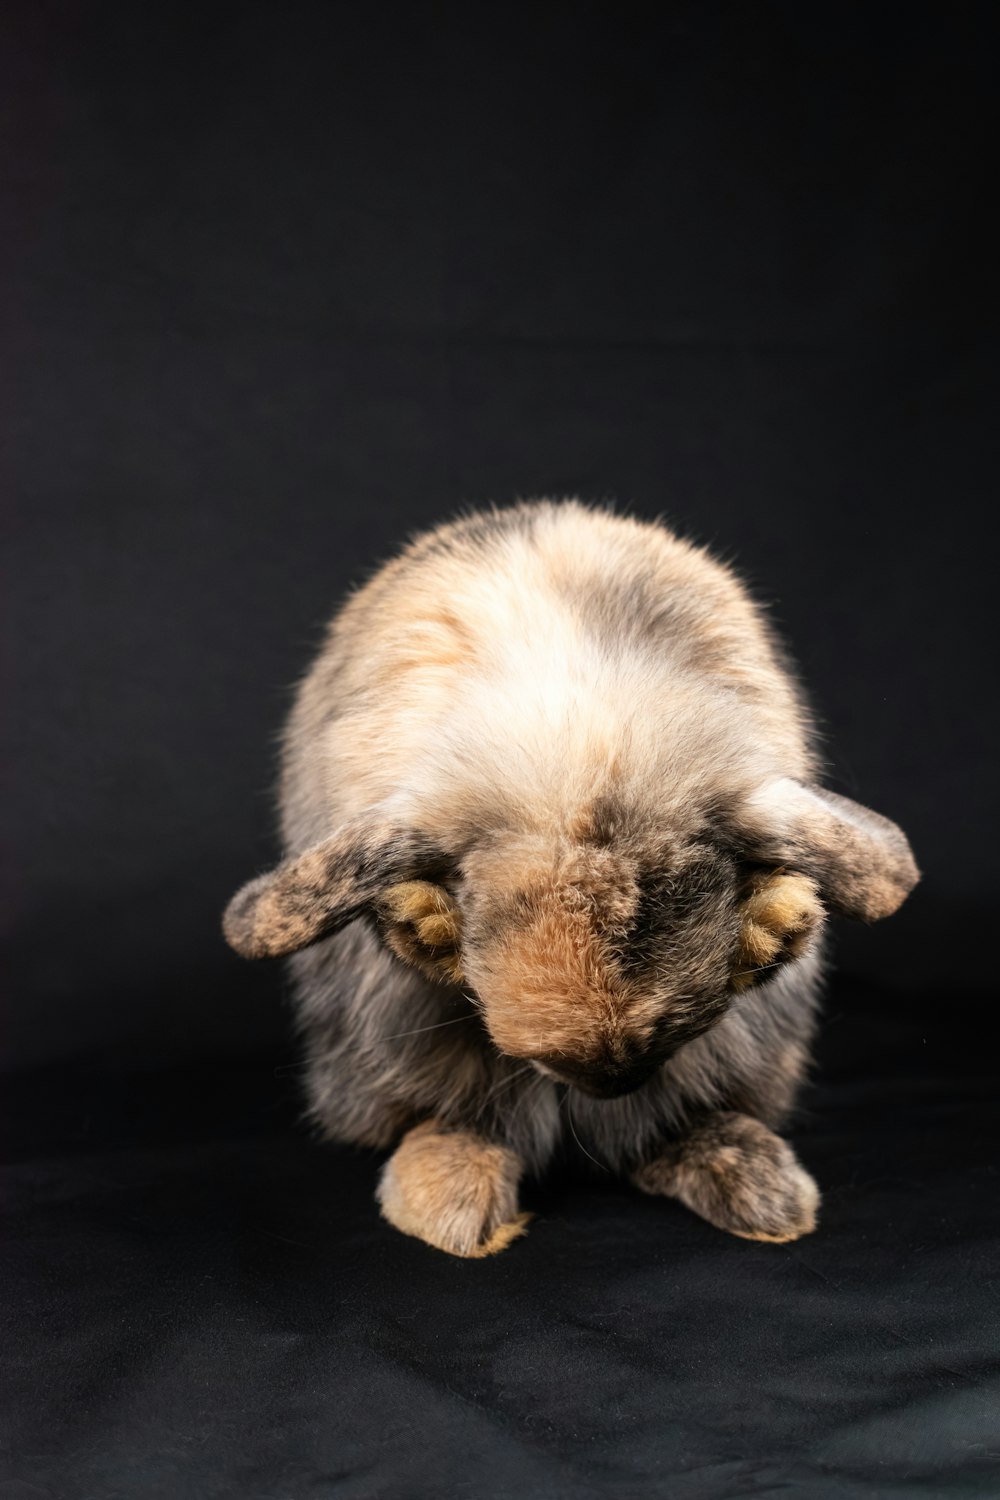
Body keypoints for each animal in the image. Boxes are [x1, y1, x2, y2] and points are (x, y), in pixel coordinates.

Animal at [223, 501, 917, 1254]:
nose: (611, 1083)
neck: (585, 745)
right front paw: (424, 921)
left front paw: (776, 921)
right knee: (455, 1116)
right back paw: (453, 1204)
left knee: (667, 1129)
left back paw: (757, 1190)